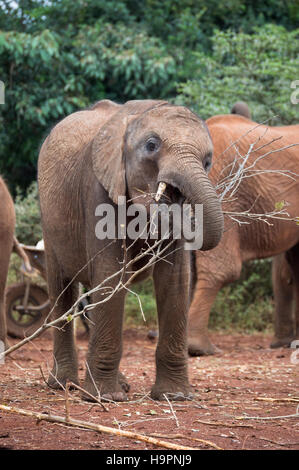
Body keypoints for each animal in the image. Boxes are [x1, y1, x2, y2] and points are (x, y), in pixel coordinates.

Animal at [37, 98, 224, 400]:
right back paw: (64, 384)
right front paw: (104, 398)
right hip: (49, 221)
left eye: (208, 161)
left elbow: (175, 278)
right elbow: (110, 272)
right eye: (151, 145)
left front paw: (175, 397)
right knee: (63, 289)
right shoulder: (98, 188)